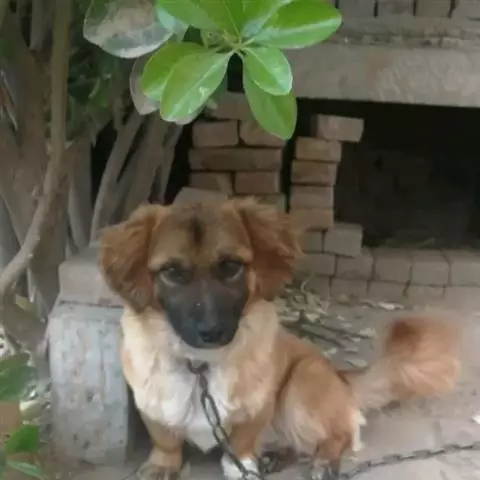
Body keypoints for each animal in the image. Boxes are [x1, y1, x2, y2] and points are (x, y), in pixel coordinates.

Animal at [99, 198, 460, 480]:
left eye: (231, 266)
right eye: (172, 272)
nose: (212, 331)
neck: (202, 367)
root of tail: (342, 378)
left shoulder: (262, 403)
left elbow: (244, 438)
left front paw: (241, 464)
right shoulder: (152, 405)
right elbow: (165, 439)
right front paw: (162, 465)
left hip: (301, 386)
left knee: (339, 433)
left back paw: (323, 461)